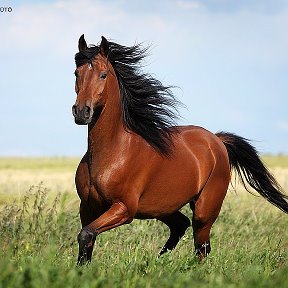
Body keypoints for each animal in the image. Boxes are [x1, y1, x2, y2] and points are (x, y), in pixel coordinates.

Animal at [71, 35, 288, 264]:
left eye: (103, 75)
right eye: (77, 73)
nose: (81, 112)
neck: (111, 153)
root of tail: (216, 140)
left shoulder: (124, 208)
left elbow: (86, 234)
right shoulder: (88, 207)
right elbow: (87, 242)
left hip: (204, 209)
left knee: (201, 246)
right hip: (163, 207)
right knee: (182, 226)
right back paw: (159, 260)